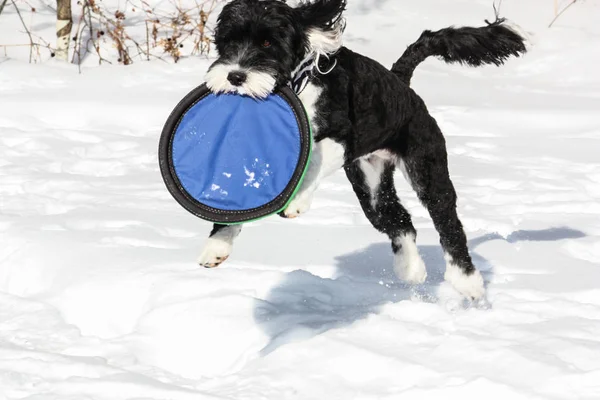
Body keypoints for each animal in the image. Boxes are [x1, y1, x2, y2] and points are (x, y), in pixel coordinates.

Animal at [196, 0, 524, 300]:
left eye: (267, 42)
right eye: (228, 41)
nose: (235, 76)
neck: (301, 84)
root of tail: (402, 84)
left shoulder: (342, 137)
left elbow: (313, 161)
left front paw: (296, 202)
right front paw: (217, 245)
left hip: (427, 168)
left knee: (448, 224)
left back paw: (468, 283)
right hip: (371, 185)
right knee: (400, 221)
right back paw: (411, 270)